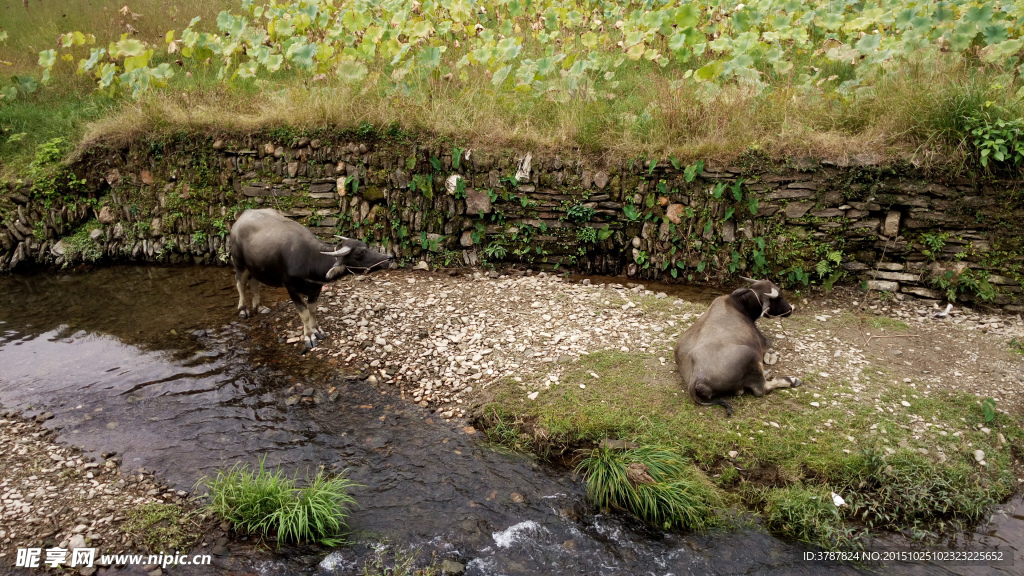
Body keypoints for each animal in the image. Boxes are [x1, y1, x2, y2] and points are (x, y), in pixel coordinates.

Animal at [229, 207, 391, 350]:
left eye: (366, 246)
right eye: (360, 252)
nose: (389, 258)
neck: (309, 259)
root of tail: (242, 215)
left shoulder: (315, 288)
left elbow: (312, 310)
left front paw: (317, 330)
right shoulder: (291, 289)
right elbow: (305, 314)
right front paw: (309, 336)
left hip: (255, 266)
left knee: (254, 282)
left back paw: (259, 307)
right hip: (239, 263)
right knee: (240, 283)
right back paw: (243, 310)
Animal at [675, 276, 802, 414]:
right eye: (779, 296)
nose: (790, 309)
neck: (738, 305)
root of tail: (696, 379)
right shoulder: (764, 342)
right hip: (750, 354)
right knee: (761, 389)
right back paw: (792, 380)